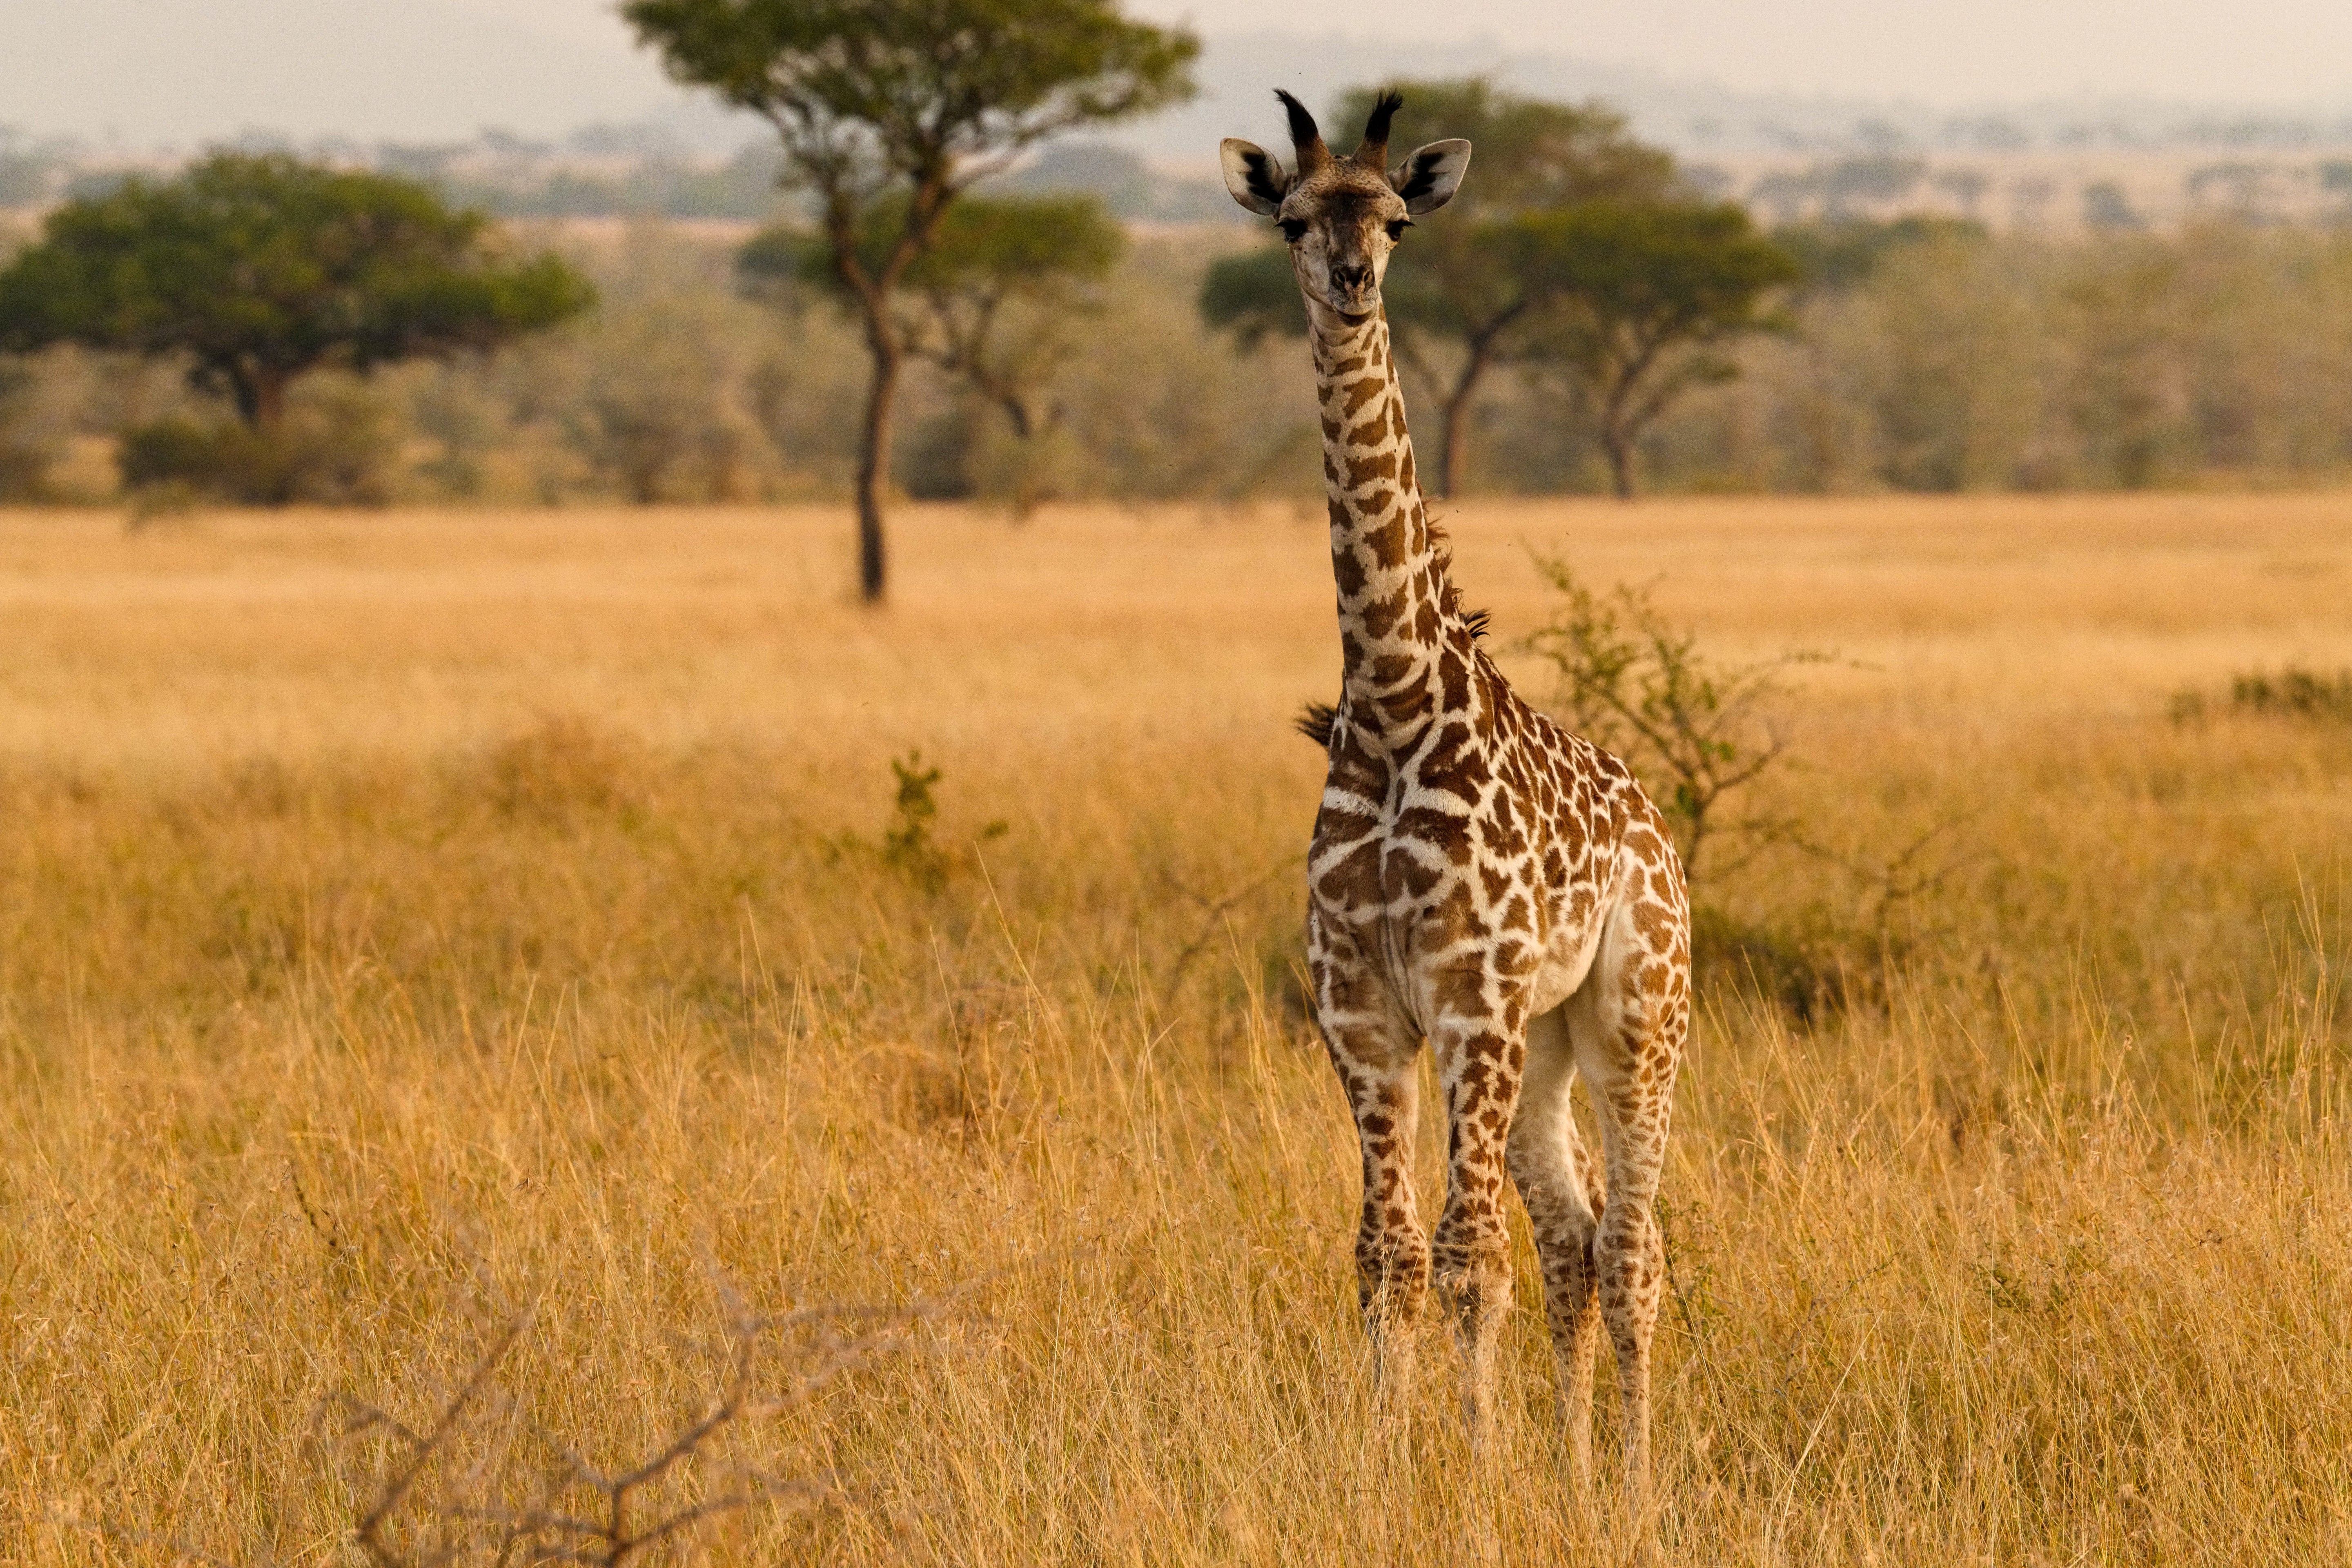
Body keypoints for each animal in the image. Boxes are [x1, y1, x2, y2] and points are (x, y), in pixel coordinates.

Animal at [1220, 91, 1693, 1498]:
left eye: (1396, 218)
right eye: (1295, 219)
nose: (1353, 283)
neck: (1390, 701)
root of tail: (1662, 831)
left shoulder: (1470, 997)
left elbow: (1467, 1255)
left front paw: (1474, 1472)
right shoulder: (1365, 1009)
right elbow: (1386, 1257)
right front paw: (1392, 1462)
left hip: (1635, 1016)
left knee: (1635, 1247)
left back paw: (1634, 1483)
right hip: (1543, 1042)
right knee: (1578, 1236)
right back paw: (1578, 1471)